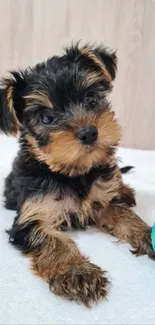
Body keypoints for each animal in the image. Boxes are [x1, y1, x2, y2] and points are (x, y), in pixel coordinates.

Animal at [0, 43, 154, 306]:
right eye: (46, 117)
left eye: (91, 99)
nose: (89, 132)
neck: (70, 171)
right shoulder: (33, 215)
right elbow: (52, 240)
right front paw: (77, 272)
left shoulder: (103, 201)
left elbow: (122, 213)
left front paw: (145, 233)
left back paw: (124, 191)